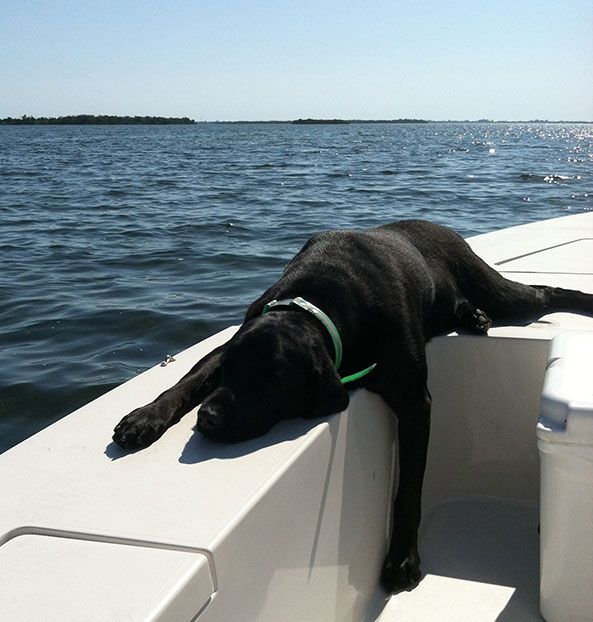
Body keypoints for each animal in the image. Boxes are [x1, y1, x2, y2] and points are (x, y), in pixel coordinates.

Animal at [112, 219, 592, 596]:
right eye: (232, 370)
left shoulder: (415, 402)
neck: (318, 304)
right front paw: (144, 418)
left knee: (544, 292)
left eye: (272, 383)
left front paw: (402, 560)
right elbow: (185, 381)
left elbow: (409, 488)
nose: (208, 419)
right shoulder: (227, 346)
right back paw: (472, 317)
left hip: (502, 292)